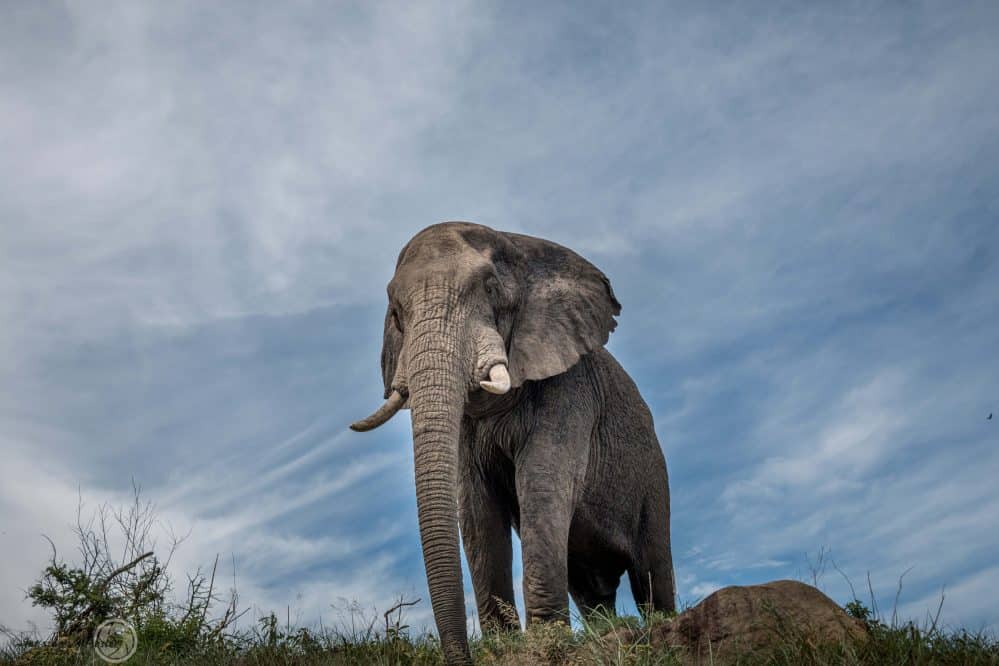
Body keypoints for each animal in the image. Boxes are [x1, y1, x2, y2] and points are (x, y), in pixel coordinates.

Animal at [350, 222, 675, 664]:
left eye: (490, 289)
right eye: (397, 315)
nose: (464, 657)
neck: (519, 246)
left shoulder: (570, 387)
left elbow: (540, 482)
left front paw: (545, 642)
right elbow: (475, 509)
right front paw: (504, 645)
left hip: (653, 478)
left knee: (652, 574)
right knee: (591, 589)